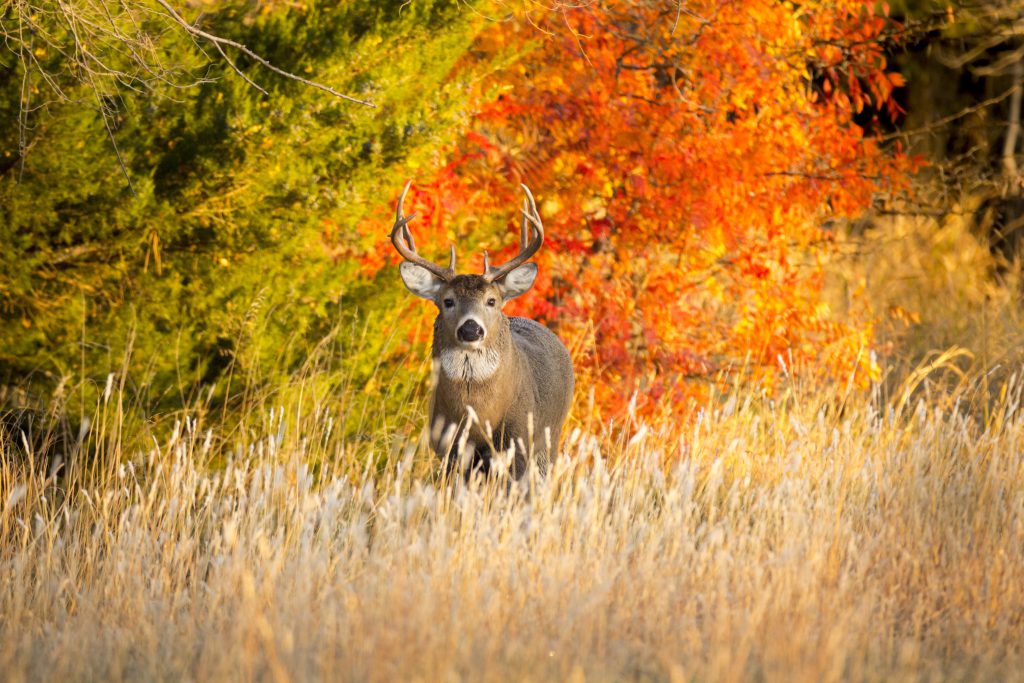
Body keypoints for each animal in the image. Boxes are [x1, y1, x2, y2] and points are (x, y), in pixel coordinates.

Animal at [389, 181, 573, 481]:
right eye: (447, 301)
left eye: (491, 301)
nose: (471, 328)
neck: (477, 416)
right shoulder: (450, 448)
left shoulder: (518, 443)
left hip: (549, 438)